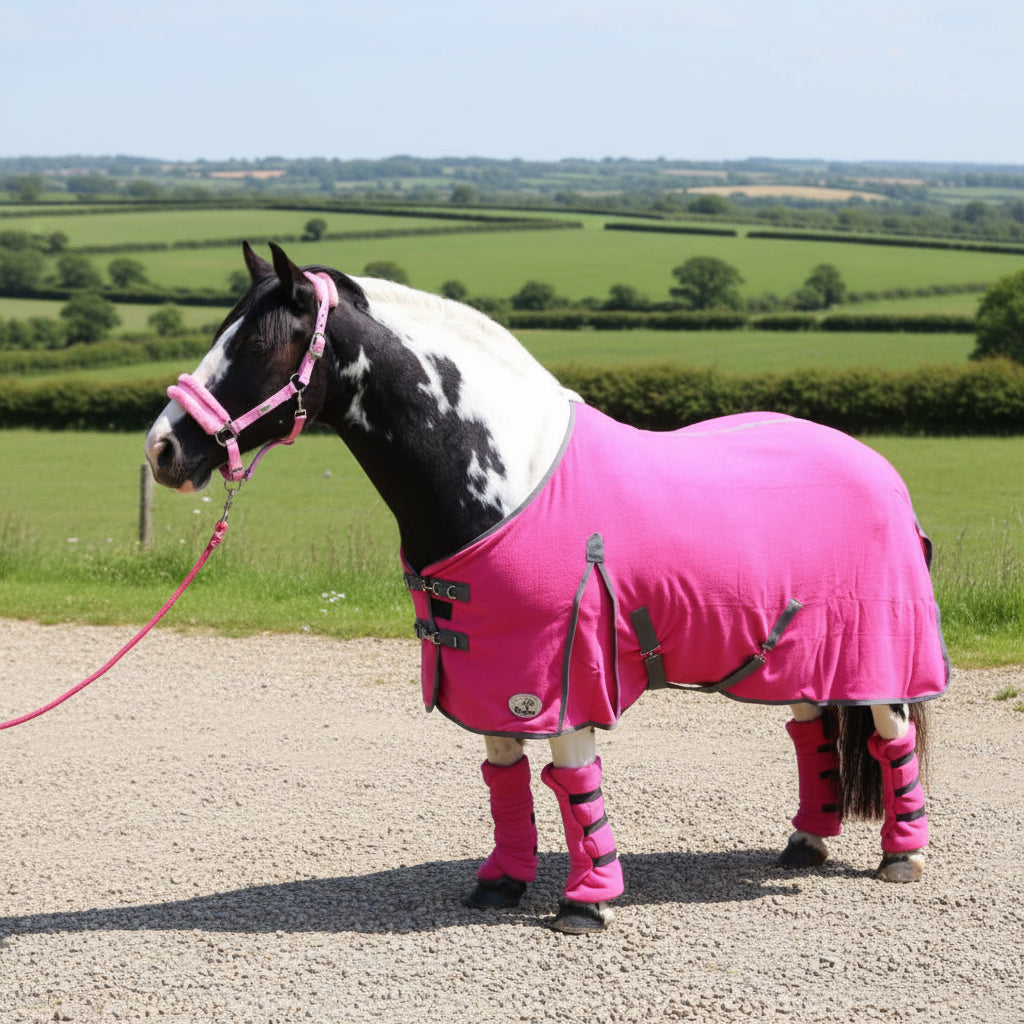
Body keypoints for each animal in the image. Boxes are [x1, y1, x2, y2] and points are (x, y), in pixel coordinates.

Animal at [145, 242, 949, 934]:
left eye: (257, 346)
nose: (164, 449)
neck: (507, 479)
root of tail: (881, 470)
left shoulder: (564, 673)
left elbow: (574, 782)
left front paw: (587, 902)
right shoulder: (490, 671)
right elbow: (503, 779)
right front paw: (501, 883)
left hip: (879, 652)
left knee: (892, 736)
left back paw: (902, 855)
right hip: (794, 654)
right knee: (810, 729)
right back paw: (806, 843)